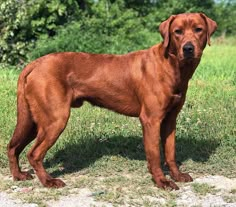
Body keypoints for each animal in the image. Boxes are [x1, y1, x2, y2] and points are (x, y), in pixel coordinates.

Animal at [7, 12, 218, 190]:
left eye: (198, 29)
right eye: (177, 32)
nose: (188, 48)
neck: (172, 66)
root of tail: (35, 63)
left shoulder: (170, 120)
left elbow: (170, 152)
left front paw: (177, 175)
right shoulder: (151, 119)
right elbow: (155, 155)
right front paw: (161, 181)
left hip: (33, 121)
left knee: (12, 147)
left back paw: (18, 175)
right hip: (55, 119)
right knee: (34, 154)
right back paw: (48, 181)